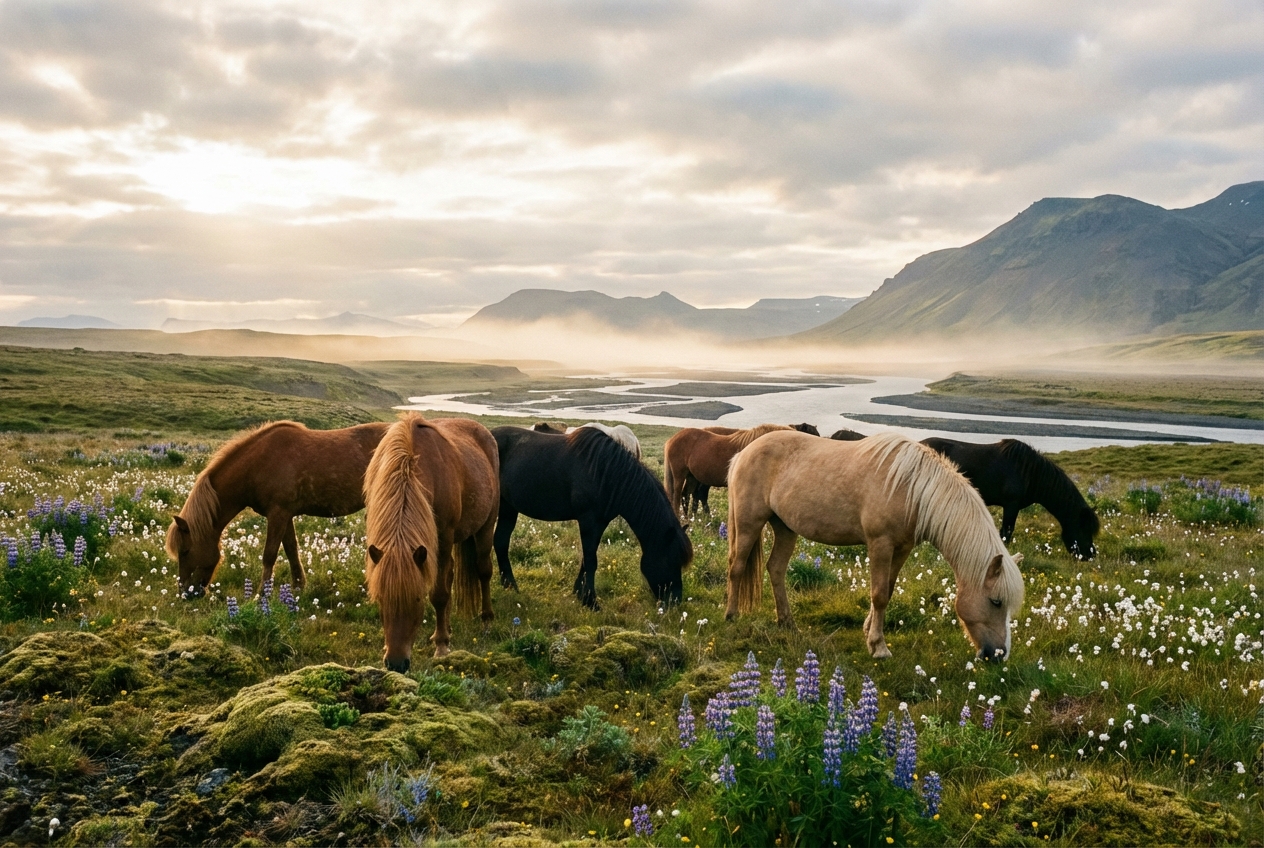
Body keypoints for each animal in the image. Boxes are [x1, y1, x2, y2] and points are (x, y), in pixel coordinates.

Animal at [166, 421, 389, 598]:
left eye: (185, 551)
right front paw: (298, 586)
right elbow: (291, 550)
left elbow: (270, 554)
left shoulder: (278, 514)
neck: (258, 464)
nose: (185, 593)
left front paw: (262, 594)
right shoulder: (285, 515)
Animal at [362, 414, 500, 669]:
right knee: (451, 573)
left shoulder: (443, 540)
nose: (396, 663)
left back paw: (486, 620)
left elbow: (439, 594)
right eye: (381, 599)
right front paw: (441, 635)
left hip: (485, 527)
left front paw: (442, 645)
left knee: (483, 570)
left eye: (417, 598)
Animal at [492, 426, 692, 608]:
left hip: (508, 508)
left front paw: (580, 593)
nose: (675, 601)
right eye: (671, 560)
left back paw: (510, 586)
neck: (607, 473)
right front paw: (591, 601)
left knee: (501, 541)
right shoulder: (589, 520)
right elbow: (590, 560)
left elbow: (587, 558)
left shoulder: (600, 522)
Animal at [725, 431, 1025, 661]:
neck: (912, 488)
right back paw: (731, 615)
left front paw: (869, 632)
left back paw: (787, 622)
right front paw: (878, 647)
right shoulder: (880, 544)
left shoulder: (902, 548)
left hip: (785, 528)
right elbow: (879, 594)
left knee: (775, 569)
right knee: (737, 566)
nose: (998, 656)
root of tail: (744, 453)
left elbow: (888, 591)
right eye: (996, 601)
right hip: (749, 522)